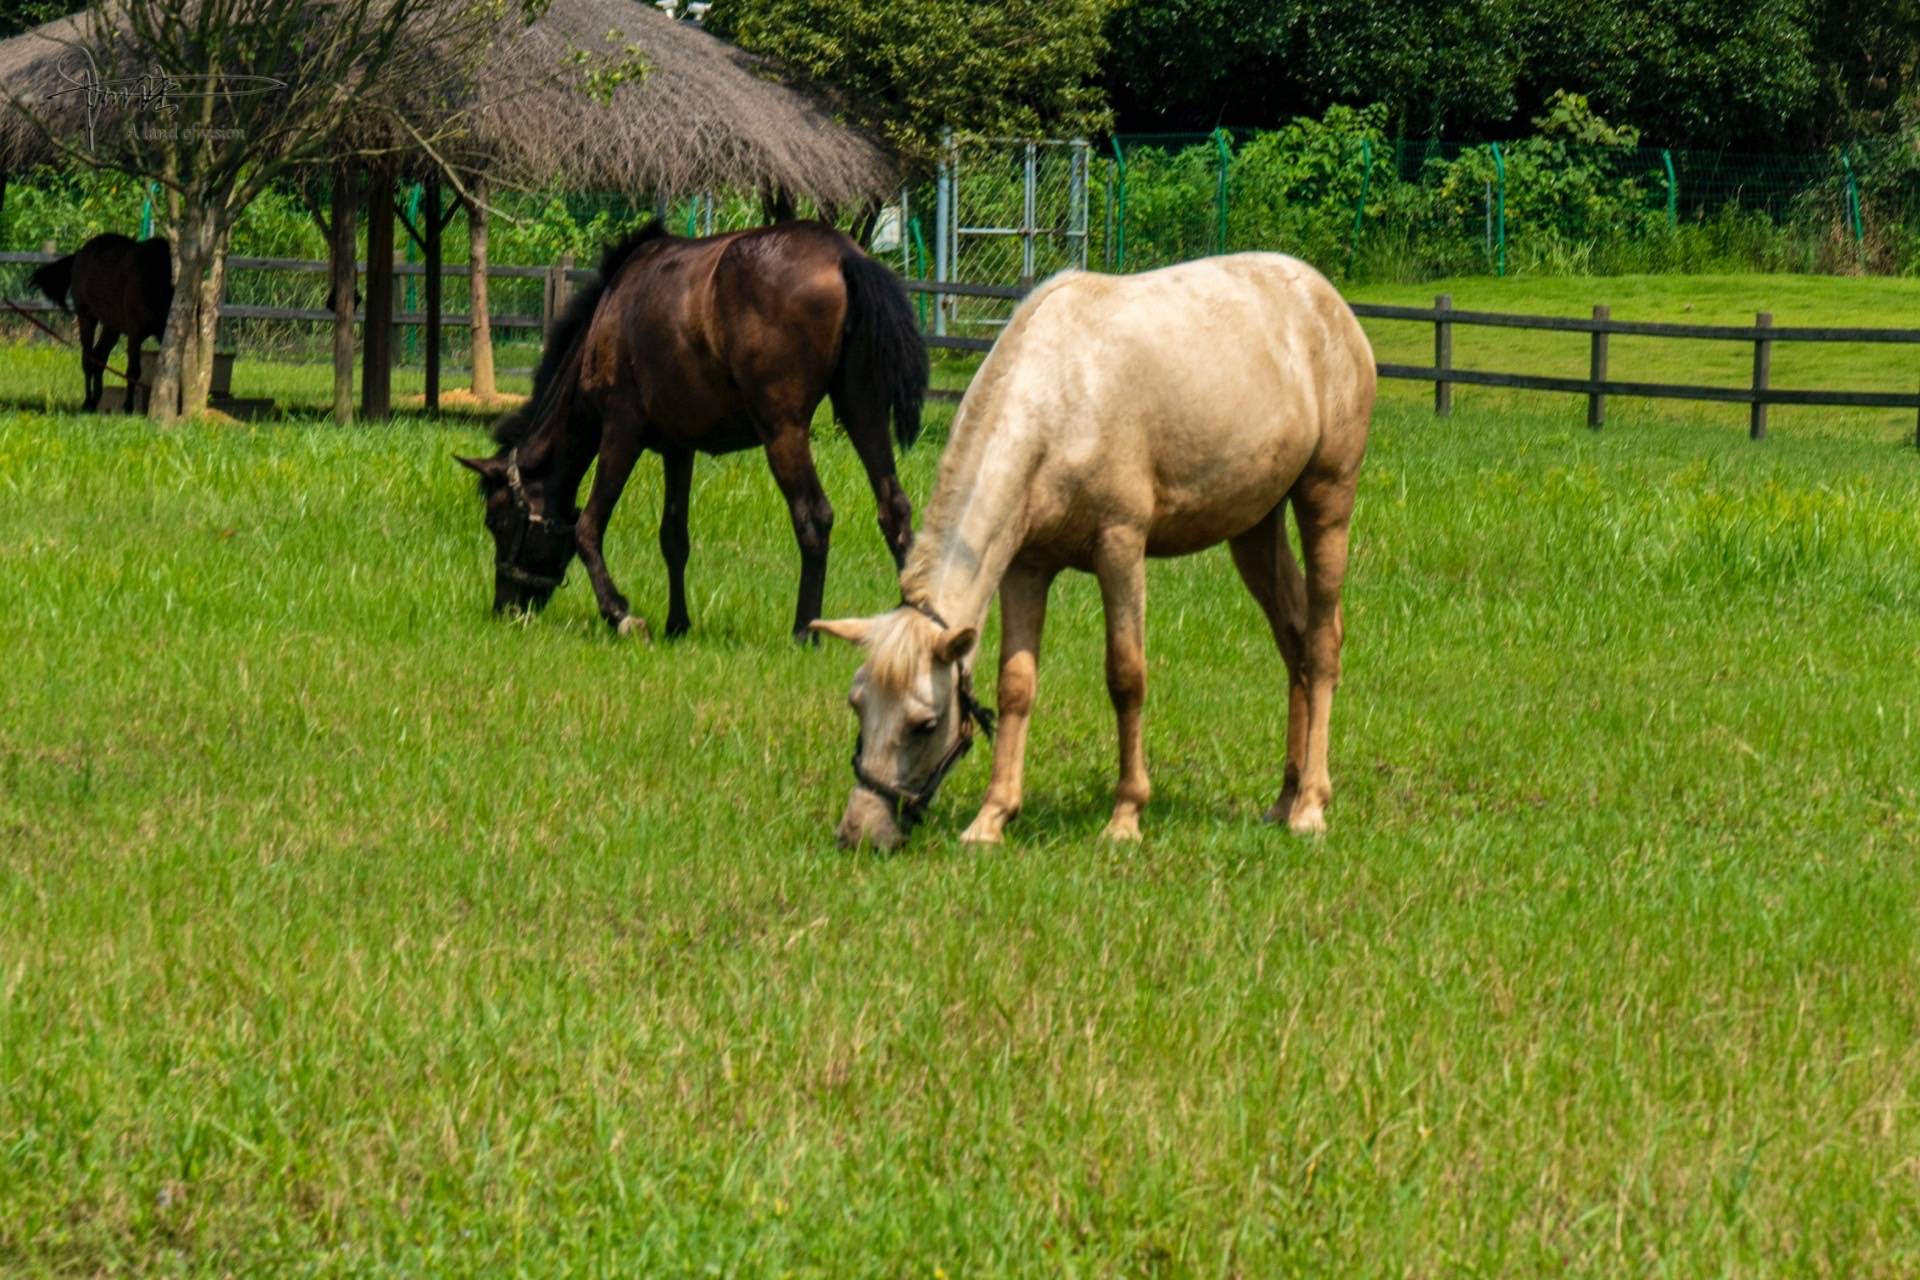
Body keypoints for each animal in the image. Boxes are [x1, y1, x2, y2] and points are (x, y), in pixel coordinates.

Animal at [30, 230, 174, 410]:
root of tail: (80, 252)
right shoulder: (135, 333)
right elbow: (133, 370)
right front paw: (128, 406)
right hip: (87, 318)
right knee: (88, 358)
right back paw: (88, 402)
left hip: (111, 327)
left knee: (99, 357)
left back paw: (96, 400)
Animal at [453, 222, 925, 640]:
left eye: (497, 520)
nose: (506, 607)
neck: (606, 317)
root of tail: (843, 254)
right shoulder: (679, 449)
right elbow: (673, 538)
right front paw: (676, 624)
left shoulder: (621, 433)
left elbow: (588, 527)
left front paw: (620, 613)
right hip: (862, 409)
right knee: (894, 507)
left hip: (783, 430)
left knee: (813, 517)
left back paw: (804, 630)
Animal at [817, 253, 1374, 852]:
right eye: (858, 704)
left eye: (923, 723)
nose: (859, 833)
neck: (1057, 401)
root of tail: (1326, 299)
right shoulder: (1025, 567)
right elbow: (1016, 685)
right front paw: (992, 817)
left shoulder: (1120, 548)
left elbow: (1126, 677)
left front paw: (1126, 815)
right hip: (1254, 527)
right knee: (1293, 640)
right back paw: (1284, 798)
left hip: (1327, 498)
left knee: (1321, 642)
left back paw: (1310, 805)